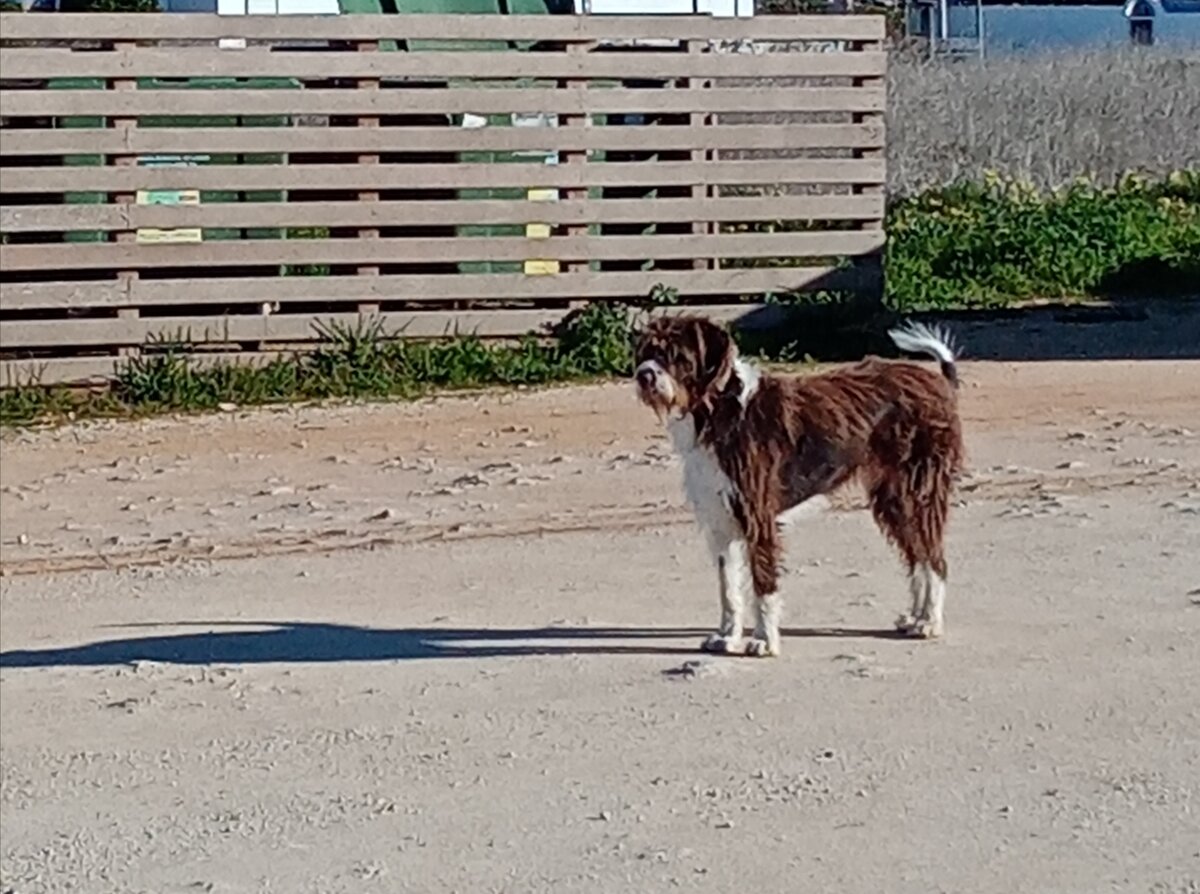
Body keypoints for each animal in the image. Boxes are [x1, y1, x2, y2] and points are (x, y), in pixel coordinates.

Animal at [638, 314, 964, 657]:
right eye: (646, 351)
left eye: (676, 355)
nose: (643, 375)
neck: (719, 411)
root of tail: (940, 383)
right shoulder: (720, 522)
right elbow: (728, 587)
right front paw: (727, 636)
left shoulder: (757, 517)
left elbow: (763, 584)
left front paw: (764, 640)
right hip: (894, 499)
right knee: (918, 557)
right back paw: (916, 617)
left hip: (922, 492)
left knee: (935, 559)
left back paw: (931, 622)